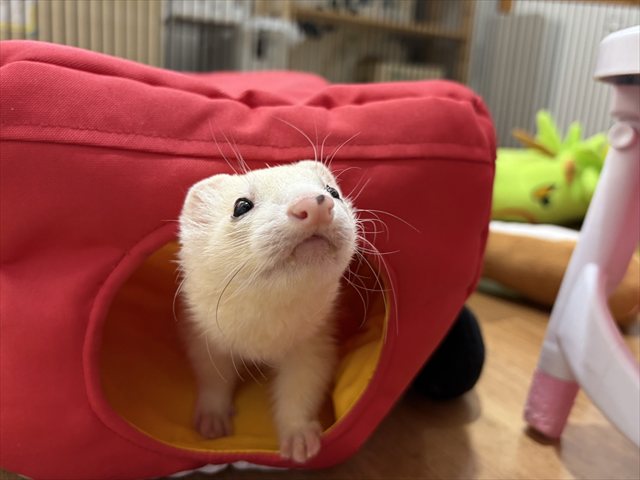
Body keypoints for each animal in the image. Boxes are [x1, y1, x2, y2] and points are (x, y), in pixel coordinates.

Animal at [178, 160, 358, 464]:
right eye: (241, 205)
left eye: (333, 191)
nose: (313, 204)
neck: (262, 339)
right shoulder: (204, 339)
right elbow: (212, 376)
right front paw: (212, 420)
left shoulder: (313, 345)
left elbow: (303, 387)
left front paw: (298, 437)